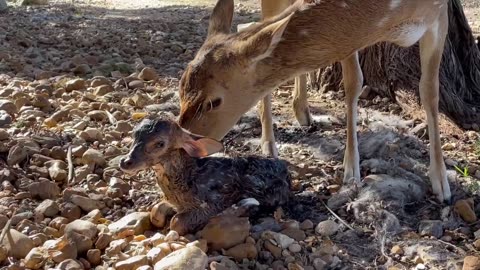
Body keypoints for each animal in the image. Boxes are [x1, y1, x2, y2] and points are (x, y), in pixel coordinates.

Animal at [178, 0, 452, 202]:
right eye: (180, 90)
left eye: (214, 102)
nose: (183, 147)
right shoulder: (350, 35)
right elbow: (353, 83)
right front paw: (351, 171)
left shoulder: (439, 15)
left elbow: (430, 92)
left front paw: (442, 184)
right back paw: (269, 144)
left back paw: (303, 112)